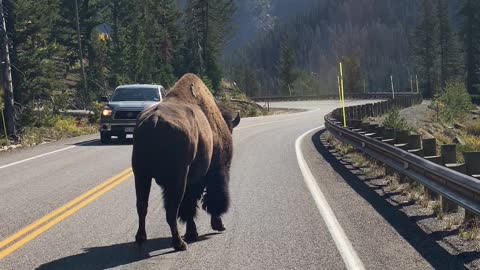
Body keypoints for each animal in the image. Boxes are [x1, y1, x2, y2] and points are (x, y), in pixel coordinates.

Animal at [131, 73, 240, 251]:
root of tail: (154, 120)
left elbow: (189, 206)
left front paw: (193, 232)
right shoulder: (216, 171)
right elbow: (208, 198)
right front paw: (214, 226)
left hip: (141, 174)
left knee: (142, 206)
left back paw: (141, 237)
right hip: (176, 178)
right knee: (172, 210)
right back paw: (179, 243)